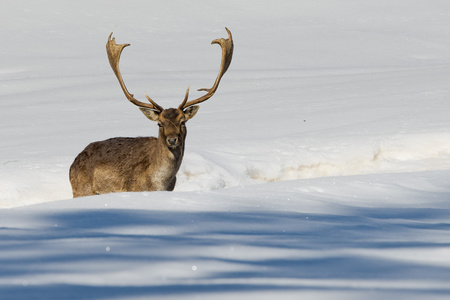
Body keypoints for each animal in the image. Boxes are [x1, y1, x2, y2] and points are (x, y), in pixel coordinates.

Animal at [69, 27, 236, 197]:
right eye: (159, 124)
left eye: (183, 122)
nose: (172, 139)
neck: (159, 183)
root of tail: (73, 163)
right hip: (82, 190)